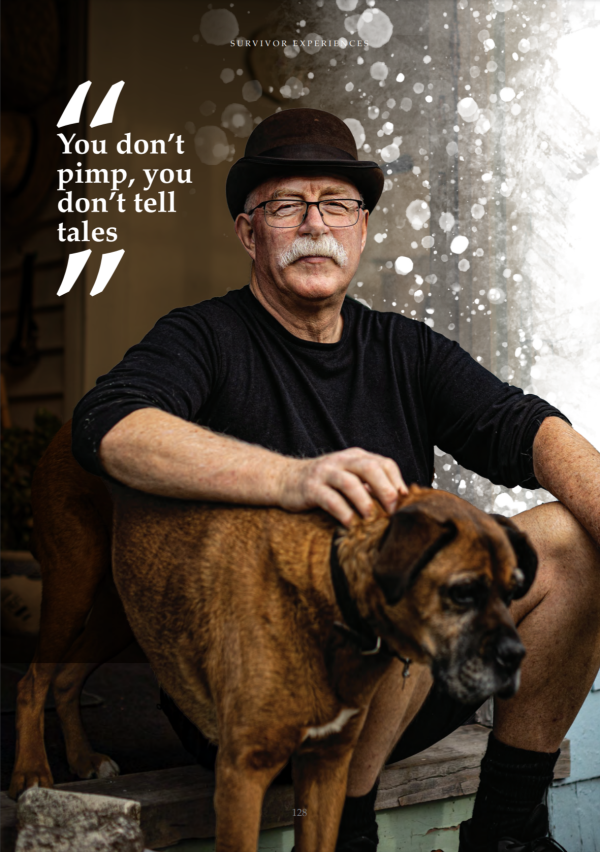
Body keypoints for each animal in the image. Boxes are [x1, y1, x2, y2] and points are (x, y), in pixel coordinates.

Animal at [9, 422, 536, 852]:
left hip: (123, 606)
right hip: (74, 581)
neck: (329, 601)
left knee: (66, 676)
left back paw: (82, 758)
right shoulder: (242, 775)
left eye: (512, 590)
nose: (517, 655)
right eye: (462, 592)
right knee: (33, 680)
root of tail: (66, 428)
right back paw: (32, 771)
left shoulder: (326, 768)